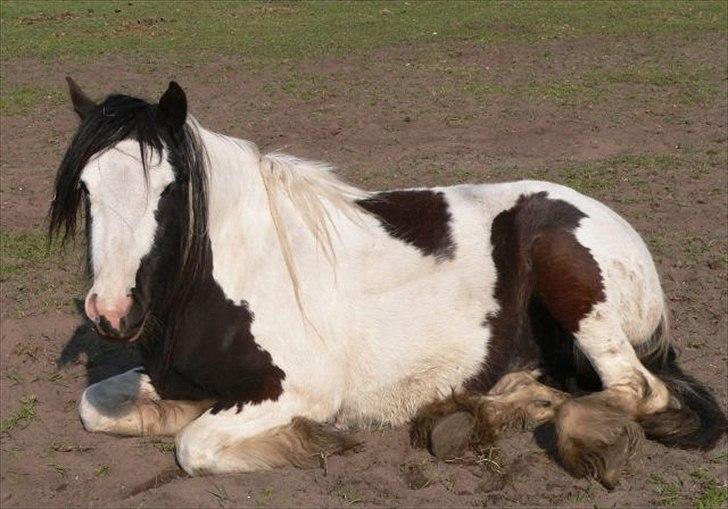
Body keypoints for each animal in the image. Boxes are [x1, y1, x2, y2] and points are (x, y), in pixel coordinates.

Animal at [48, 78, 724, 484]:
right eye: (86, 188)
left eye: (170, 189)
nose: (112, 312)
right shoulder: (170, 377)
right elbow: (96, 406)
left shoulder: (296, 389)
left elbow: (194, 446)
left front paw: (312, 442)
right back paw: (479, 413)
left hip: (573, 278)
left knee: (638, 389)